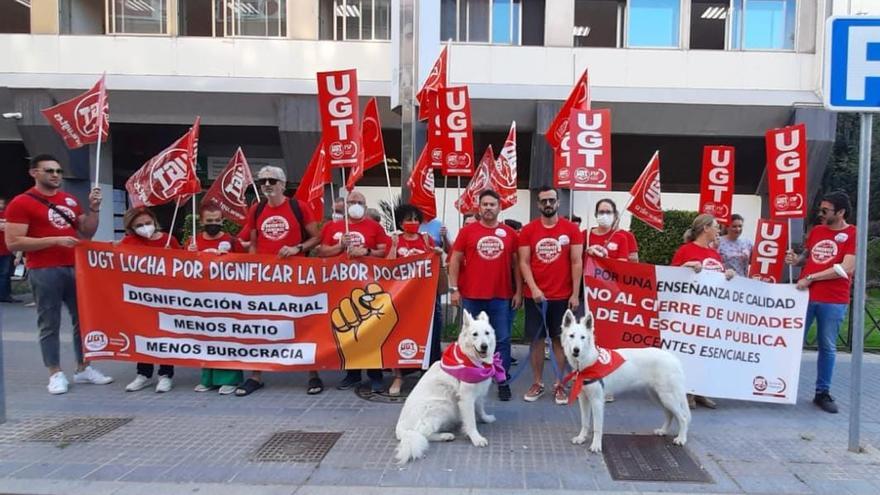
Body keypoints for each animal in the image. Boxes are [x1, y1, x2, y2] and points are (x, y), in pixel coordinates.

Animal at [394, 310, 502, 464]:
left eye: (487, 333)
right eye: (475, 334)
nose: (484, 346)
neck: (471, 359)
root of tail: (400, 428)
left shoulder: (478, 394)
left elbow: (480, 409)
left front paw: (486, 418)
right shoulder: (466, 399)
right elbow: (471, 422)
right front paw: (476, 438)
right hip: (443, 406)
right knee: (422, 434)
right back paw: (445, 436)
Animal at [560, 310, 692, 454]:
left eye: (583, 337)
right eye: (571, 336)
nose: (576, 350)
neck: (588, 362)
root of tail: (673, 358)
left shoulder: (597, 401)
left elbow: (597, 427)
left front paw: (596, 445)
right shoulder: (583, 399)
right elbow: (584, 422)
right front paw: (581, 438)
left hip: (667, 397)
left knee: (683, 418)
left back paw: (681, 439)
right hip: (658, 397)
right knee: (670, 414)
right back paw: (663, 431)